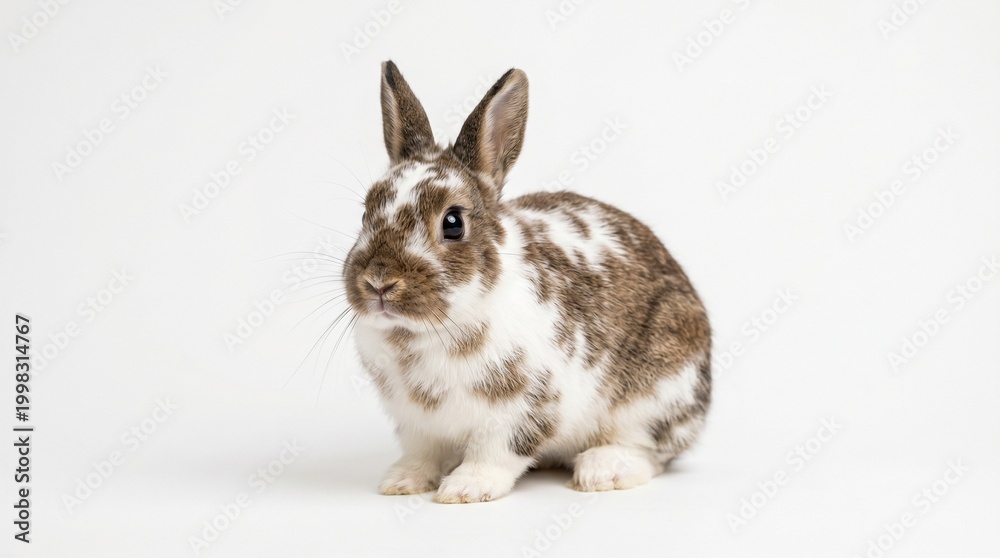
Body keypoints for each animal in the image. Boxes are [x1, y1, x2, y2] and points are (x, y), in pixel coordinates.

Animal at [342, 61, 711, 503]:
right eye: (365, 212)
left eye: (453, 223)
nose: (378, 283)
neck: (420, 333)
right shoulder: (416, 424)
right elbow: (422, 453)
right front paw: (402, 482)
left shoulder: (523, 409)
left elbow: (496, 453)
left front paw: (466, 488)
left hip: (657, 393)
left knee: (649, 450)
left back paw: (602, 471)